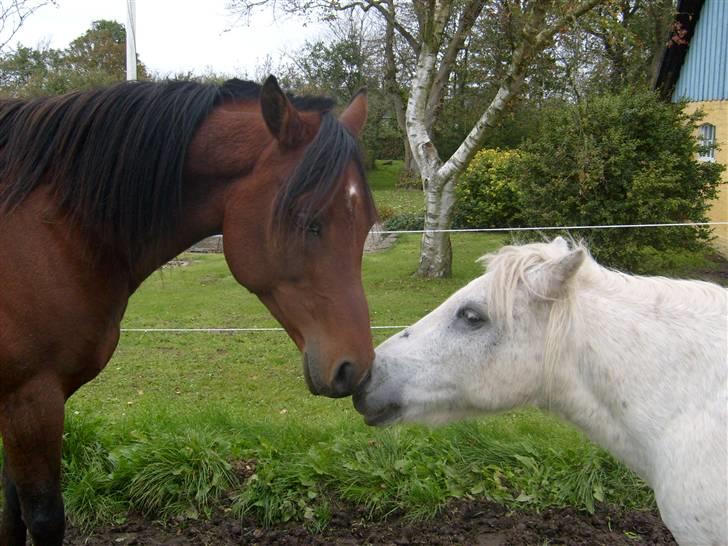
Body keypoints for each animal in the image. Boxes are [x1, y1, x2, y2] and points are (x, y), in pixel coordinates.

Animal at [0, 77, 376, 544]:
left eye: (367, 223)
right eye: (309, 222)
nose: (354, 368)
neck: (51, 234)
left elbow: (11, 514)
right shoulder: (30, 399)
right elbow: (42, 517)